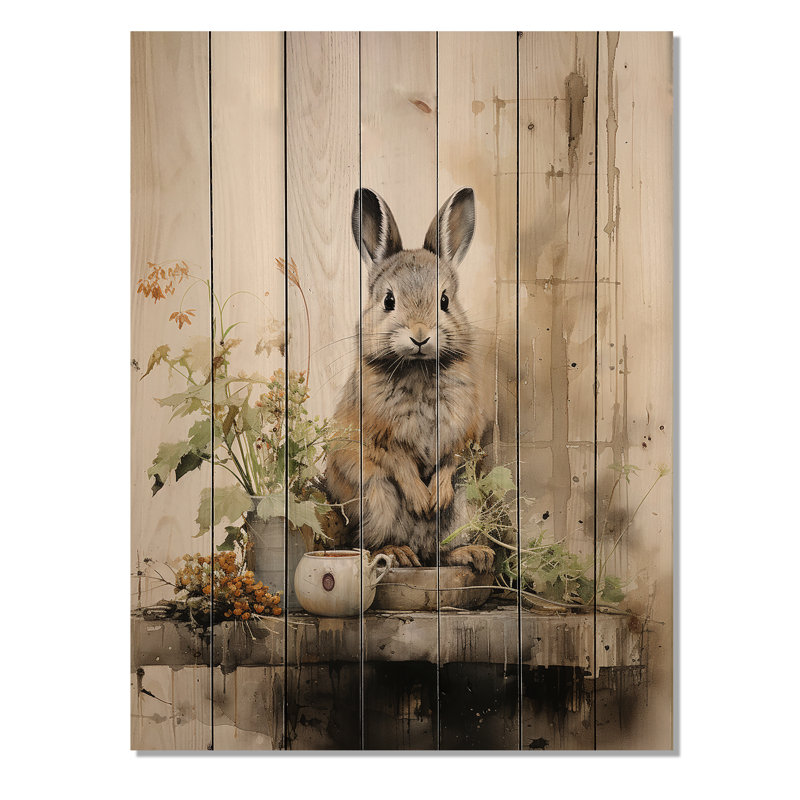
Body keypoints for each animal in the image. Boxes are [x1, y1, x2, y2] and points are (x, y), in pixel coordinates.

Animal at [324, 187, 495, 573]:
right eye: (389, 300)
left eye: (444, 301)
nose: (420, 336)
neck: (418, 368)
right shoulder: (376, 436)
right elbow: (399, 462)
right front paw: (421, 500)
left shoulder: (462, 434)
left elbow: (449, 461)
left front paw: (436, 498)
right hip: (376, 498)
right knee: (375, 542)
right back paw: (400, 554)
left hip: (466, 504)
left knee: (441, 550)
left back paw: (472, 554)